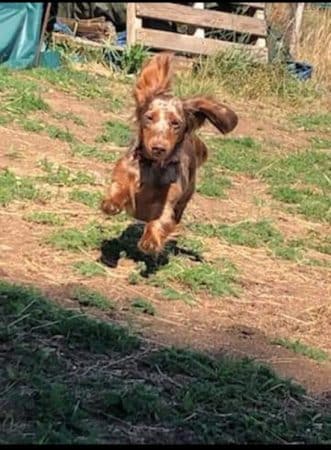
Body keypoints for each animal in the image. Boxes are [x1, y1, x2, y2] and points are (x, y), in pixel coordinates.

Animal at [101, 52, 239, 253]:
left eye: (176, 123)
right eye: (149, 118)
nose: (158, 148)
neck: (151, 166)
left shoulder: (169, 202)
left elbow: (161, 219)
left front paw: (150, 240)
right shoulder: (124, 174)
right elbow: (120, 187)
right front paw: (111, 203)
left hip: (186, 197)